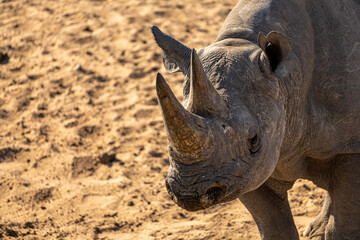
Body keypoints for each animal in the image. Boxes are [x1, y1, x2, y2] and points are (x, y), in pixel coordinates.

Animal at [150, 0, 360, 239]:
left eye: (254, 140)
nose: (190, 193)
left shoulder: (351, 145)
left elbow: (343, 226)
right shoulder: (242, 170)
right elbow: (274, 226)